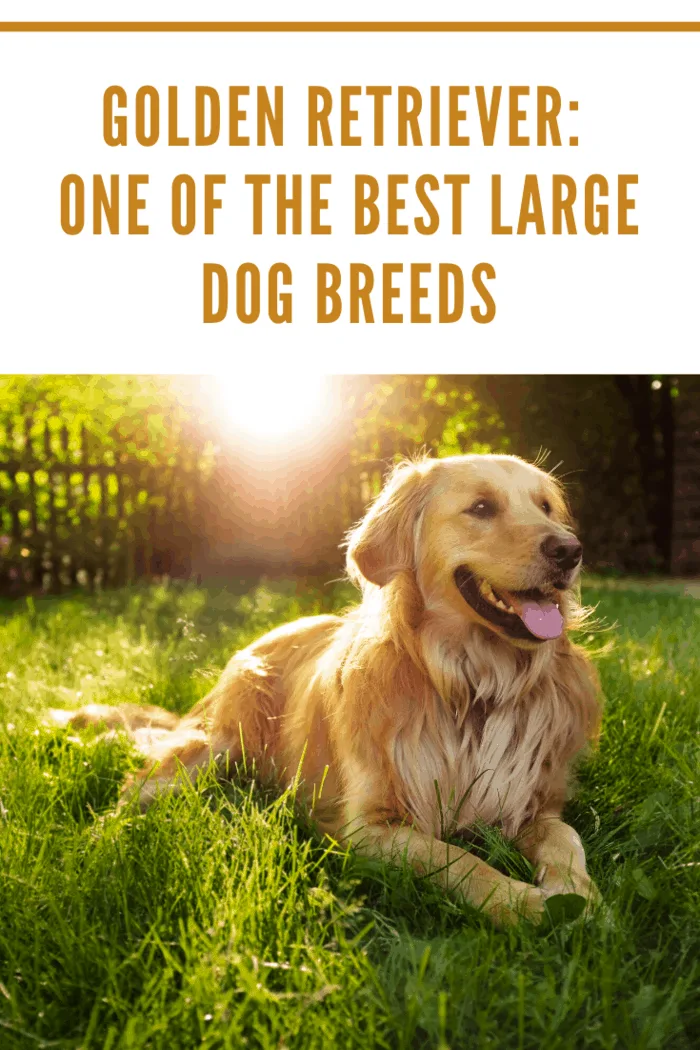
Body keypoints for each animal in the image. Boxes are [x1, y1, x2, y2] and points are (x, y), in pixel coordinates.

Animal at [54, 455, 604, 923]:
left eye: (546, 507)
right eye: (482, 508)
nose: (570, 551)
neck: (473, 685)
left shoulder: (532, 802)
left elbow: (565, 837)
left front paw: (577, 893)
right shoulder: (370, 827)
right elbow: (456, 859)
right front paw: (523, 903)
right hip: (212, 747)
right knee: (131, 792)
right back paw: (96, 847)